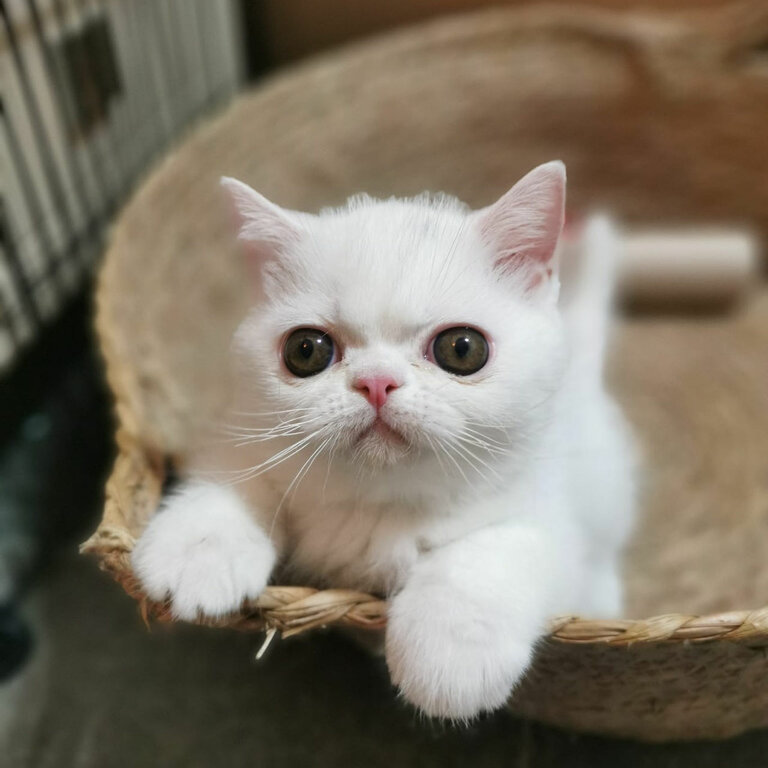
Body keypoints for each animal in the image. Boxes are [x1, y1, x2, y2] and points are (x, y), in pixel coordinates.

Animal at [134, 162, 636, 720]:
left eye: (462, 348)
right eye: (305, 350)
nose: (377, 381)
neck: (379, 500)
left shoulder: (546, 508)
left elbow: (489, 553)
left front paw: (449, 651)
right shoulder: (251, 430)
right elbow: (236, 479)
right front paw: (198, 550)